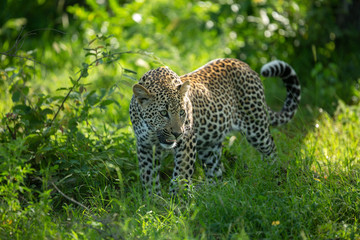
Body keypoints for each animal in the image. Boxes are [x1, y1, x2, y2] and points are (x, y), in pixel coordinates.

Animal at [129, 57, 300, 195]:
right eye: (163, 113)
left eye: (182, 112)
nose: (177, 133)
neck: (153, 133)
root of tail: (245, 65)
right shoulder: (144, 146)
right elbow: (148, 175)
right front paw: (153, 201)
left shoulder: (187, 141)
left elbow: (181, 174)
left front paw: (177, 203)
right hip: (210, 146)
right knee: (216, 173)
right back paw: (212, 193)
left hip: (256, 127)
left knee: (271, 149)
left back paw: (273, 176)